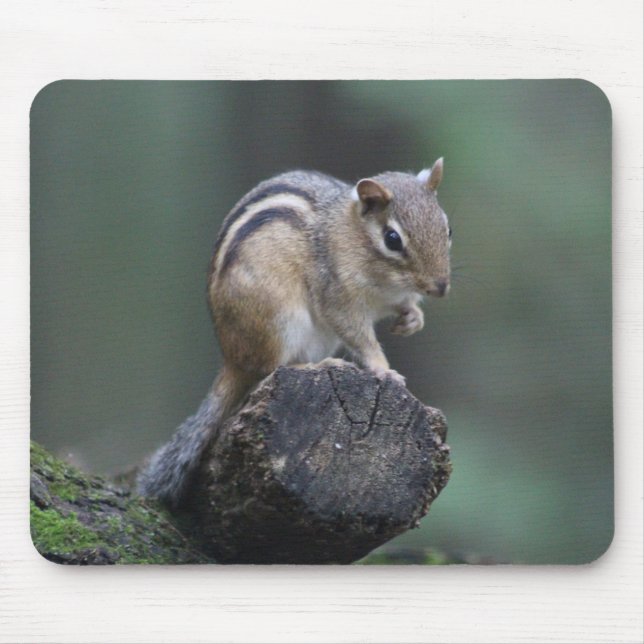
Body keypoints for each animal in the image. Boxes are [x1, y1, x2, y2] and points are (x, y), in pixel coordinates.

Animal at [136, 159, 452, 509]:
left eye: (447, 228)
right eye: (393, 239)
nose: (440, 287)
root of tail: (231, 358)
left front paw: (412, 319)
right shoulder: (338, 294)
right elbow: (358, 334)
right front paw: (384, 370)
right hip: (279, 318)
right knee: (270, 367)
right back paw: (322, 365)